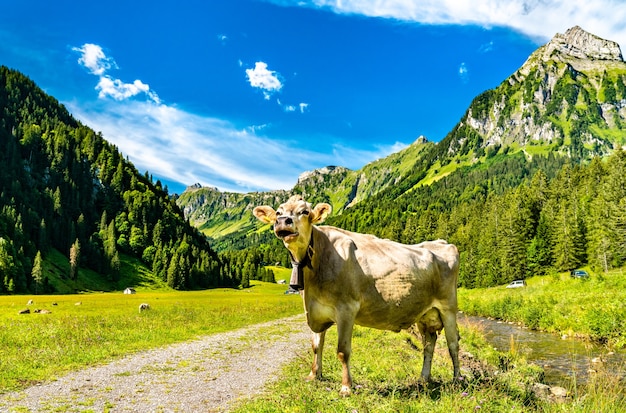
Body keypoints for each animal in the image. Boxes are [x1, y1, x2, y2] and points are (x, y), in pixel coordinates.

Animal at [251, 195, 460, 394]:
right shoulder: (316, 310)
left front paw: (346, 387)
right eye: (278, 212)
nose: (283, 222)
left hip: (448, 307)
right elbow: (316, 345)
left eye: (304, 212)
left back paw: (458, 379)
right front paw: (314, 375)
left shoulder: (346, 309)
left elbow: (343, 351)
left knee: (453, 344)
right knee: (429, 343)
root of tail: (443, 243)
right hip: (425, 313)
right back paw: (424, 378)